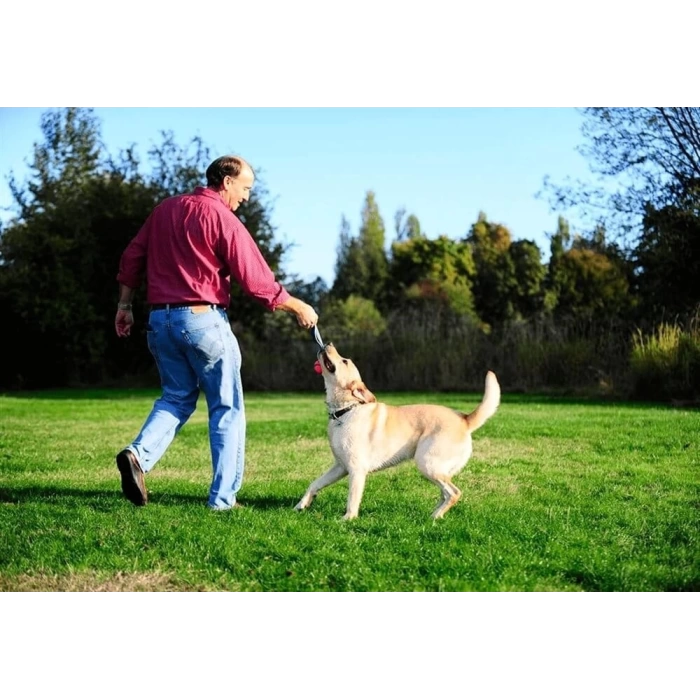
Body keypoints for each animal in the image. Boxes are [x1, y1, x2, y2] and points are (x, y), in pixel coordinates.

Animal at [292, 344, 500, 520]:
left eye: (344, 361)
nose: (327, 343)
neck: (347, 410)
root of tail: (464, 419)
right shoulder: (340, 467)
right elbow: (315, 483)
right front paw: (301, 505)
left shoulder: (356, 470)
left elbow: (352, 499)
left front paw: (347, 519)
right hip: (436, 468)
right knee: (445, 494)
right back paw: (434, 515)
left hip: (427, 464)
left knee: (454, 493)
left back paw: (435, 517)